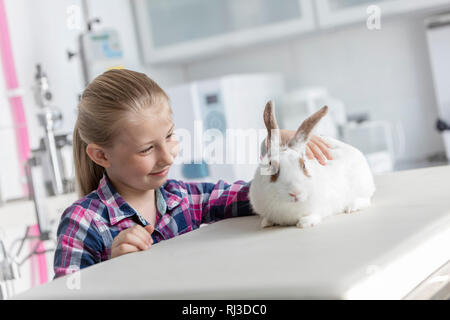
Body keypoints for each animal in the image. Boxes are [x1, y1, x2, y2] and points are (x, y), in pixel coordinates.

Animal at [250, 100, 376, 228]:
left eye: (304, 165)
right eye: (271, 166)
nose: (295, 193)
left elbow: (316, 214)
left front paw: (304, 223)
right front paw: (266, 223)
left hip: (362, 187)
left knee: (366, 199)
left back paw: (352, 207)